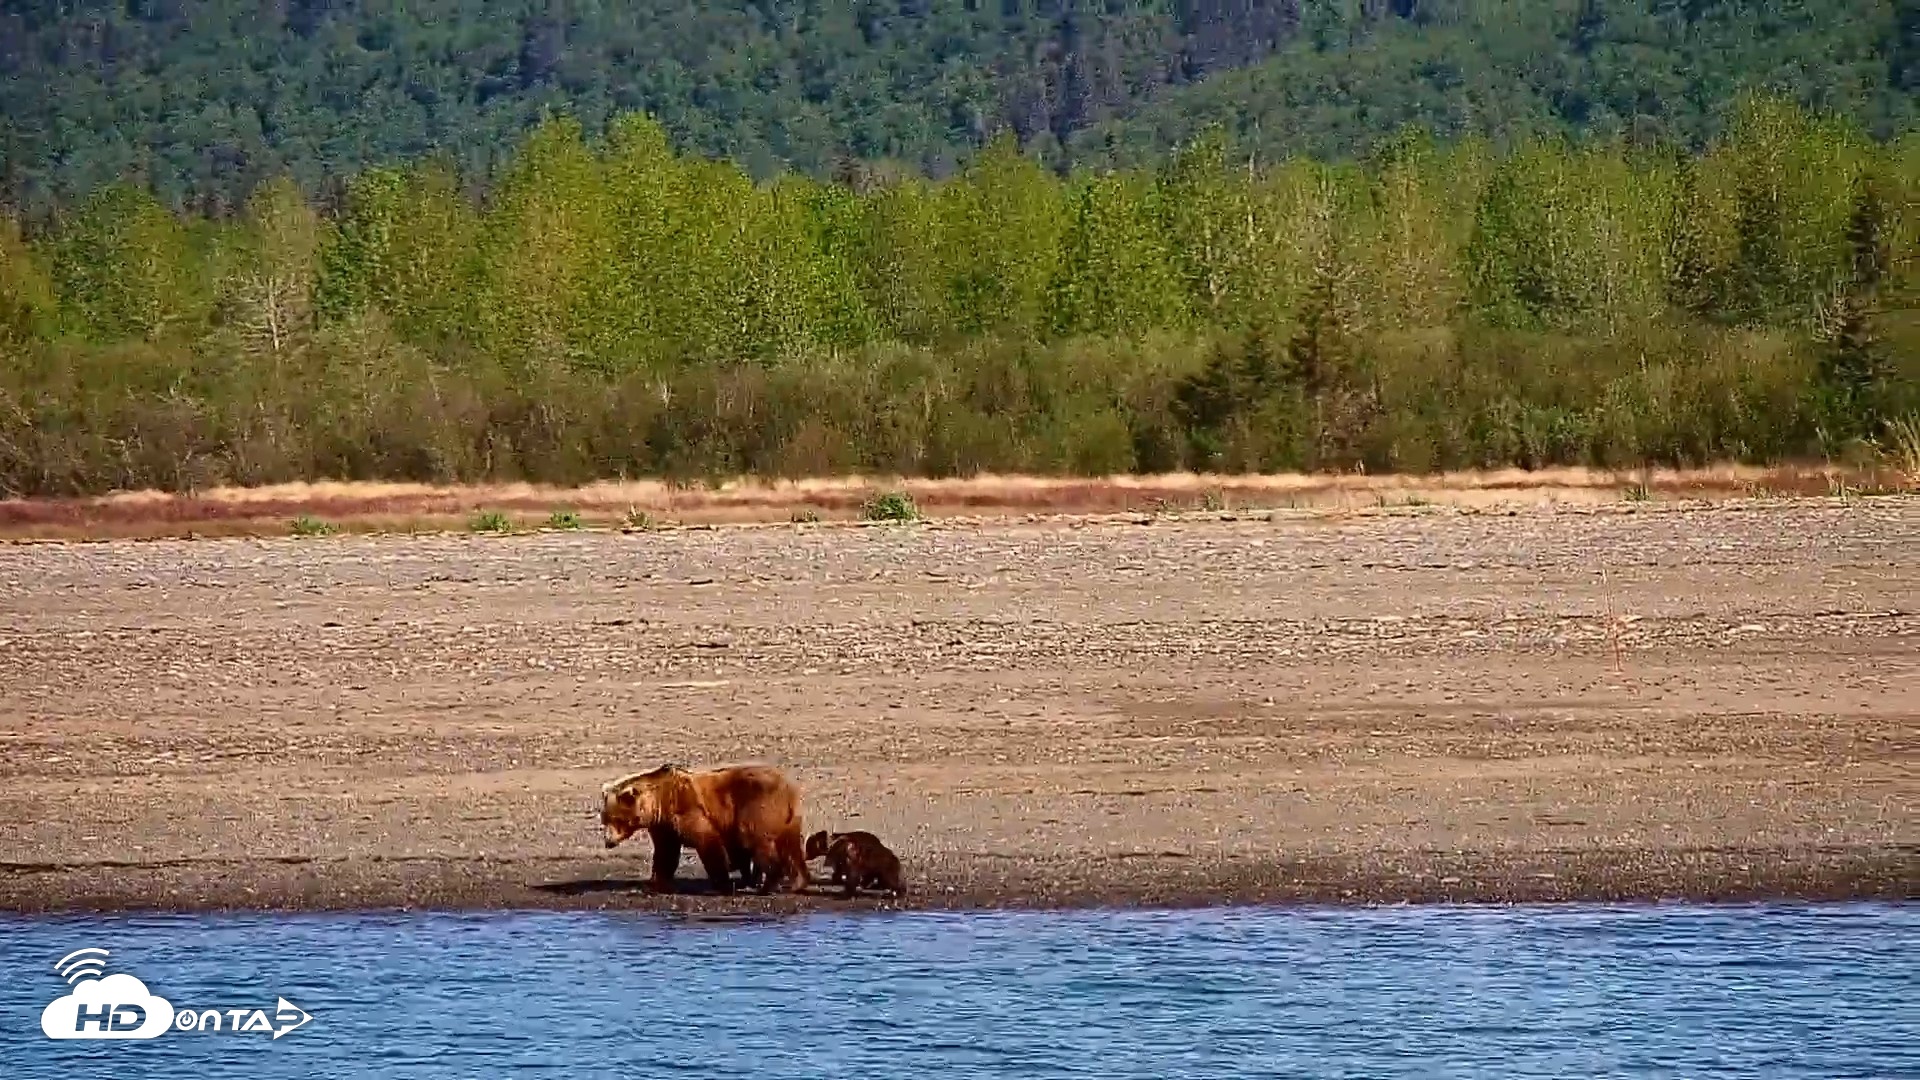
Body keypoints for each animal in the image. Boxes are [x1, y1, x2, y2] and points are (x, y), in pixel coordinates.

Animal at [601, 763, 811, 895]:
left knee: (755, 840)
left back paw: (768, 885)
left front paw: (723, 883)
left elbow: (708, 843)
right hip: (788, 818)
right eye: (604, 819)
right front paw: (656, 884)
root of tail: (789, 789)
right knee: (791, 847)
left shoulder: (687, 810)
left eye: (616, 819)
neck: (659, 803)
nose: (608, 841)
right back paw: (798, 882)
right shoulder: (663, 827)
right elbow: (665, 854)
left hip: (757, 807)